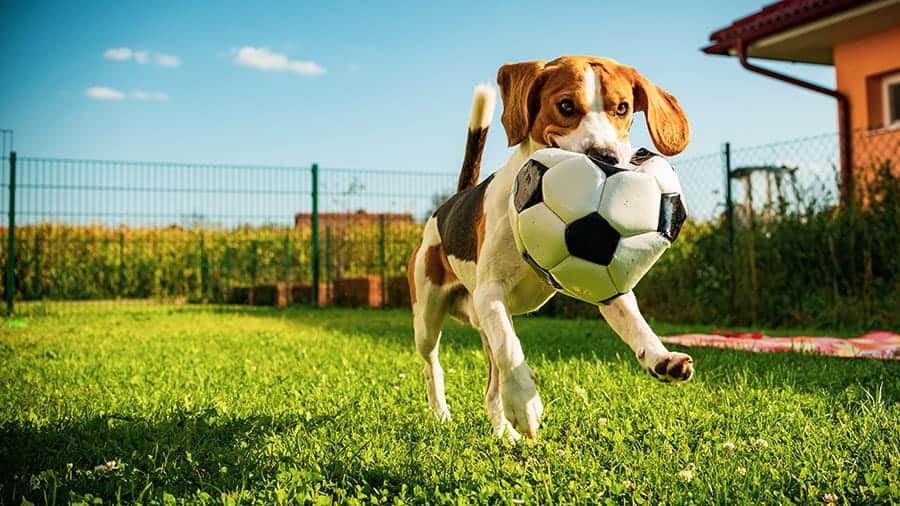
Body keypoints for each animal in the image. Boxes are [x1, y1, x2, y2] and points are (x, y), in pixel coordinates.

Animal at [412, 55, 692, 440]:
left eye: (622, 108)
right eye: (566, 106)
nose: (604, 156)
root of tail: (452, 201)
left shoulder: (606, 286)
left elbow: (636, 324)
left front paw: (660, 357)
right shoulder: (491, 292)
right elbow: (509, 345)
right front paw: (523, 399)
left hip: (479, 322)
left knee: (491, 387)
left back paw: (504, 432)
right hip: (427, 317)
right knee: (433, 364)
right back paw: (441, 412)